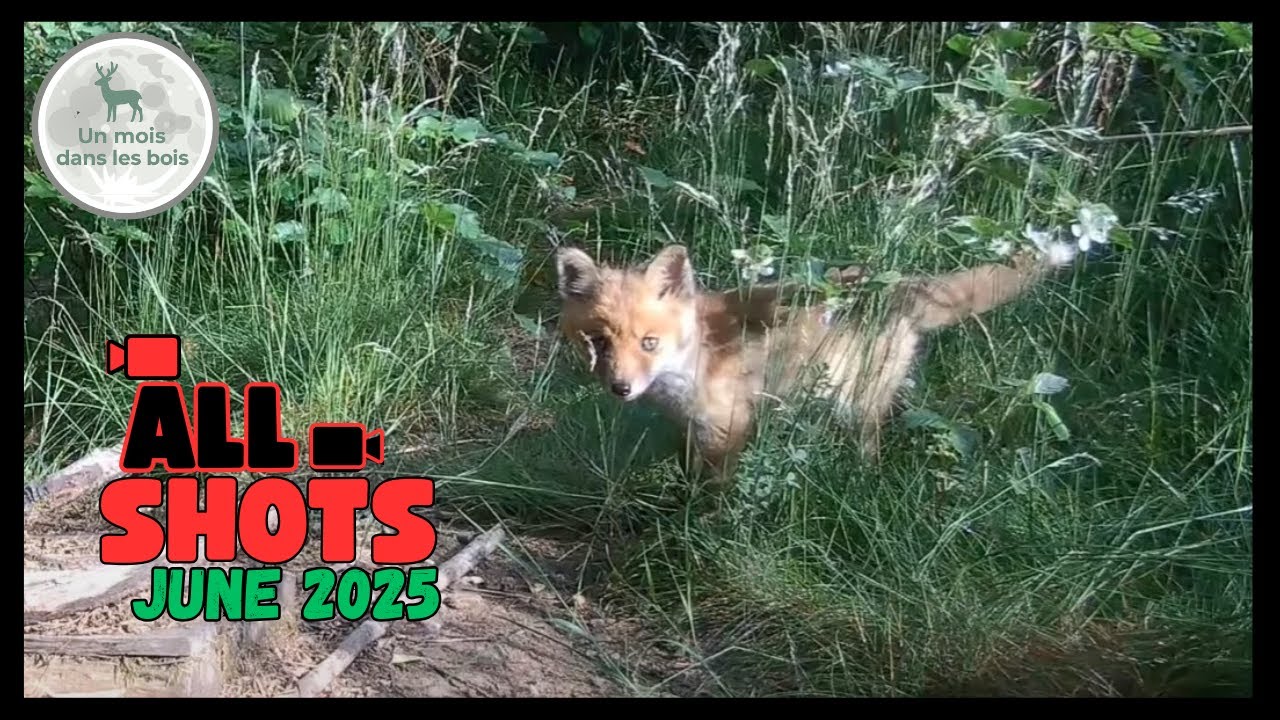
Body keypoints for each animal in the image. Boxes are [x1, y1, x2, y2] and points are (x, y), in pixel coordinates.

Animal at [554, 240, 1077, 482]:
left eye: (648, 343)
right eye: (598, 342)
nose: (620, 388)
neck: (697, 355)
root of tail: (900, 283)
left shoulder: (728, 427)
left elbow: (712, 491)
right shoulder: (694, 428)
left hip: (856, 404)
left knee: (869, 446)